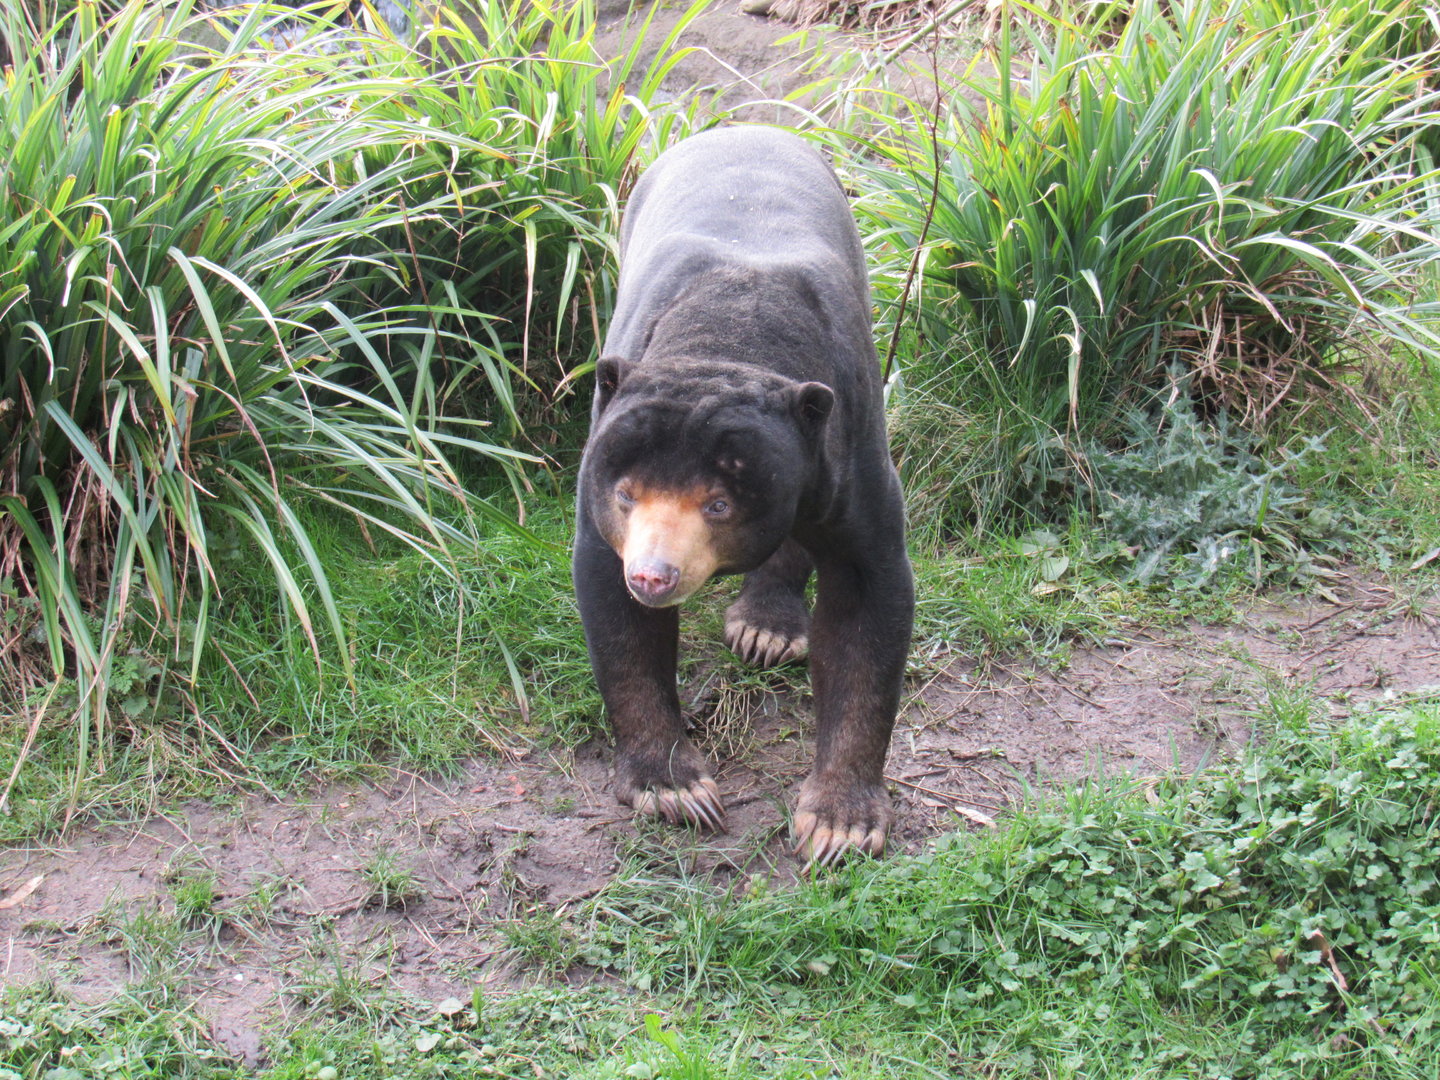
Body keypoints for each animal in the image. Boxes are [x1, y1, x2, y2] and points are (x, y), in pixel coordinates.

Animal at [572, 125, 914, 865]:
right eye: (627, 496)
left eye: (718, 505)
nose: (653, 575)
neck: (728, 336)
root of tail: (745, 126)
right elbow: (617, 622)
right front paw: (676, 790)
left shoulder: (849, 445)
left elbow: (866, 605)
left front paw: (839, 823)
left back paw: (766, 629)